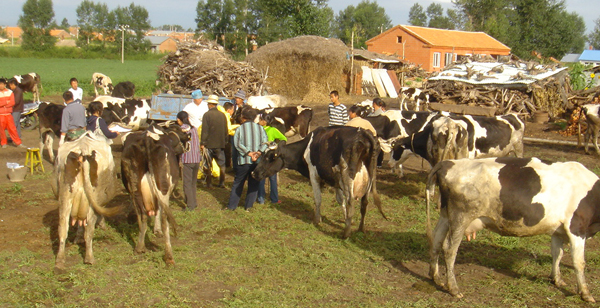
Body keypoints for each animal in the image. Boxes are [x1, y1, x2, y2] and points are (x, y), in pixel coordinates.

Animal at [54, 132, 122, 272]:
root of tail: (83, 150)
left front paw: (77, 238)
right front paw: (102, 224)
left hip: (65, 197)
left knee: (63, 228)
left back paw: (60, 260)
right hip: (92, 198)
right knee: (89, 229)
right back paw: (89, 258)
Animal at [120, 122, 190, 264]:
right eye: (182, 135)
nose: (188, 145)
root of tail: (147, 139)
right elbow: (158, 211)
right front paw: (157, 230)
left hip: (134, 187)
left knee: (142, 214)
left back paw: (140, 247)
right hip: (163, 187)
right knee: (164, 219)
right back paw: (169, 256)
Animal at [252, 125, 384, 238]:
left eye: (269, 157)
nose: (254, 173)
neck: (306, 147)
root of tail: (363, 133)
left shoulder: (313, 175)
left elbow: (318, 199)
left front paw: (317, 220)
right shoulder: (335, 180)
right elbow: (340, 200)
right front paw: (346, 219)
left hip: (348, 176)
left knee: (350, 201)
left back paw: (346, 234)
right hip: (370, 177)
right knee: (364, 202)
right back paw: (361, 228)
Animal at [426, 158, 600, 302]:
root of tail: (448, 162)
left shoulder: (557, 230)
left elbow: (557, 255)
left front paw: (557, 279)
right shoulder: (577, 228)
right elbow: (579, 262)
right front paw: (585, 293)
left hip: (446, 216)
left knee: (436, 241)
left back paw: (436, 278)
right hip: (461, 217)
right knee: (449, 249)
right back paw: (453, 288)